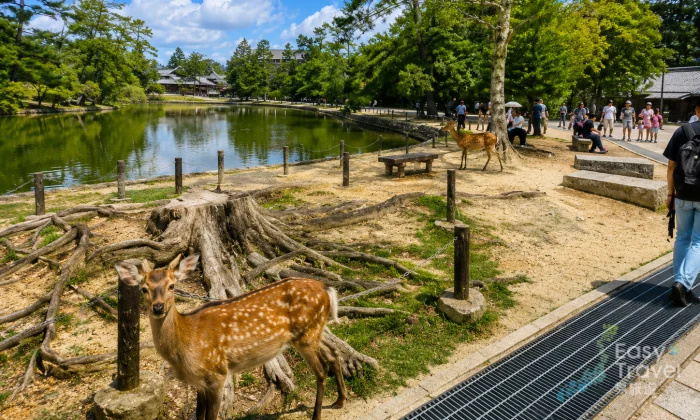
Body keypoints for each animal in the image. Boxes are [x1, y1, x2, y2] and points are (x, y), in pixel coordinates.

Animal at [115, 254, 346, 420]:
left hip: (306, 335)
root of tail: (326, 288)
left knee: (321, 371)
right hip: (315, 330)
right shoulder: (199, 383)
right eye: (144, 289)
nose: (158, 307)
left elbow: (210, 417)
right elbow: (198, 415)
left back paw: (318, 415)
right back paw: (340, 400)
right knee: (334, 352)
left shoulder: (217, 373)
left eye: (172, 286)